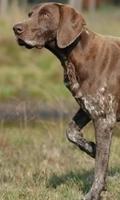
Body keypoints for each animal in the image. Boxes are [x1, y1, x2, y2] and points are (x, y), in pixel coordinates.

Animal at [12, 2, 120, 199]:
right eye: (30, 14)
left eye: (46, 15)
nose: (16, 29)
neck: (77, 54)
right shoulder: (86, 108)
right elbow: (71, 132)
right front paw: (92, 148)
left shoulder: (103, 119)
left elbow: (100, 168)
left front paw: (94, 193)